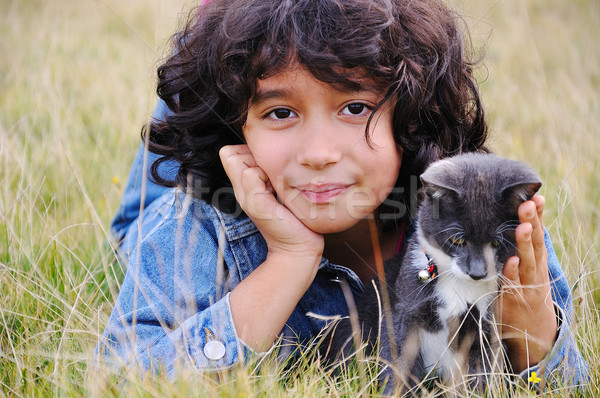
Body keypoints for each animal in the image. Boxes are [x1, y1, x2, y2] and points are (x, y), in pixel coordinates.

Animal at [324, 152, 544, 394]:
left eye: (497, 243)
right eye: (457, 240)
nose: (477, 273)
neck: (458, 284)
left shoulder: (486, 326)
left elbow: (480, 372)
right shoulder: (405, 309)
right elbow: (399, 357)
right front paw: (395, 391)